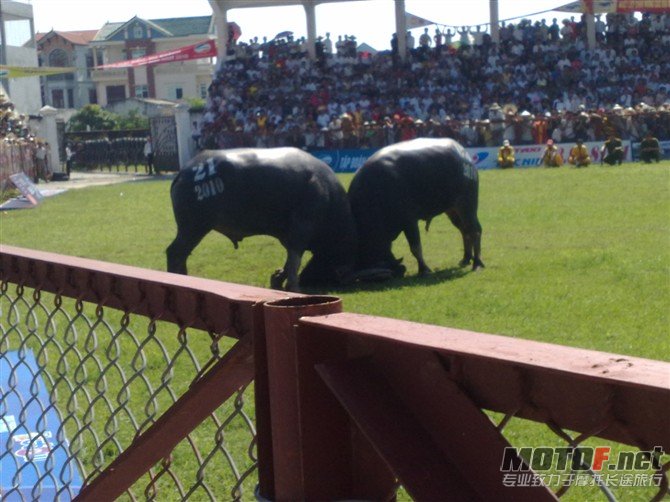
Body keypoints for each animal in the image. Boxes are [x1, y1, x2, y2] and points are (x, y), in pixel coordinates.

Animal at [166, 147, 360, 292]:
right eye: (347, 252)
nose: (348, 276)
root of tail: (183, 173)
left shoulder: (287, 236)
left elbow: (289, 260)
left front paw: (277, 278)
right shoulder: (301, 229)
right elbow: (295, 260)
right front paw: (293, 287)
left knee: (181, 254)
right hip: (194, 227)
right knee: (175, 253)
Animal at [350, 137, 486, 276]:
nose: (401, 269)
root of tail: (464, 155)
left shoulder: (409, 221)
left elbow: (415, 247)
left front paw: (424, 269)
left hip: (467, 203)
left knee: (475, 230)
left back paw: (477, 263)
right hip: (452, 209)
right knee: (465, 230)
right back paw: (465, 259)